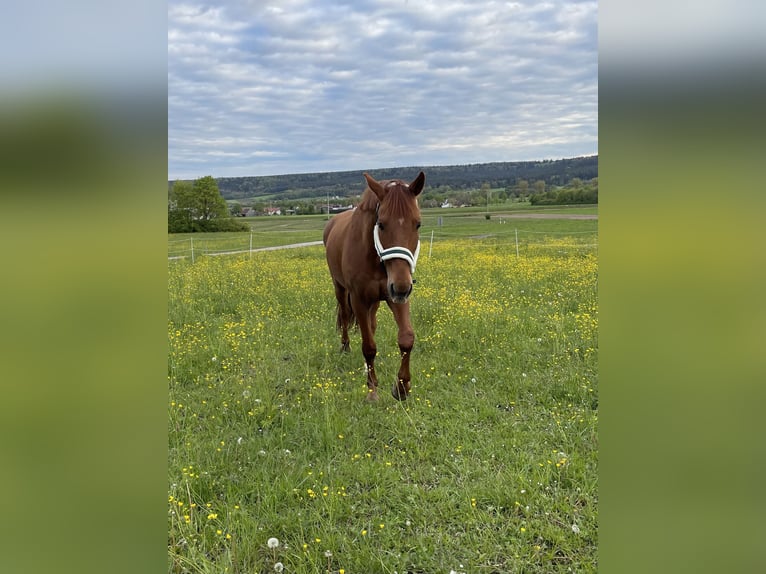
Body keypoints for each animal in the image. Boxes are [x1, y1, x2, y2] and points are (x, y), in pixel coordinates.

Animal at [323, 171, 425, 401]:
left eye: (417, 224)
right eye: (382, 224)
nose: (402, 286)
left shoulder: (396, 297)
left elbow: (406, 338)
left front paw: (402, 387)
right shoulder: (359, 299)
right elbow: (368, 346)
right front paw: (372, 391)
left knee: (371, 324)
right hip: (340, 289)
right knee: (345, 317)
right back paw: (345, 348)